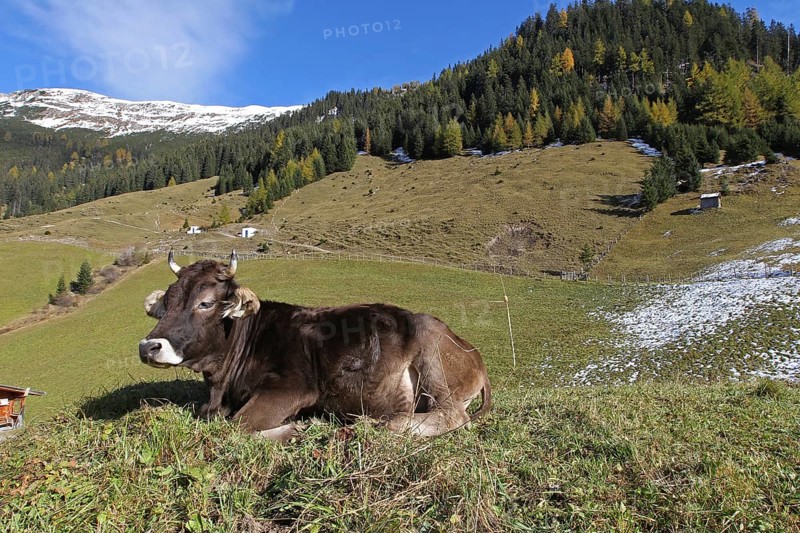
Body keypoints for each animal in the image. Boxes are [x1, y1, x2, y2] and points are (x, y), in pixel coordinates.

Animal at [138, 251, 491, 441]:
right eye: (167, 302)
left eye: (206, 303)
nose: (149, 346)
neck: (221, 384)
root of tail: (472, 352)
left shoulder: (292, 387)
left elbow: (237, 425)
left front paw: (295, 429)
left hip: (434, 362)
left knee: (452, 416)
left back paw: (381, 423)